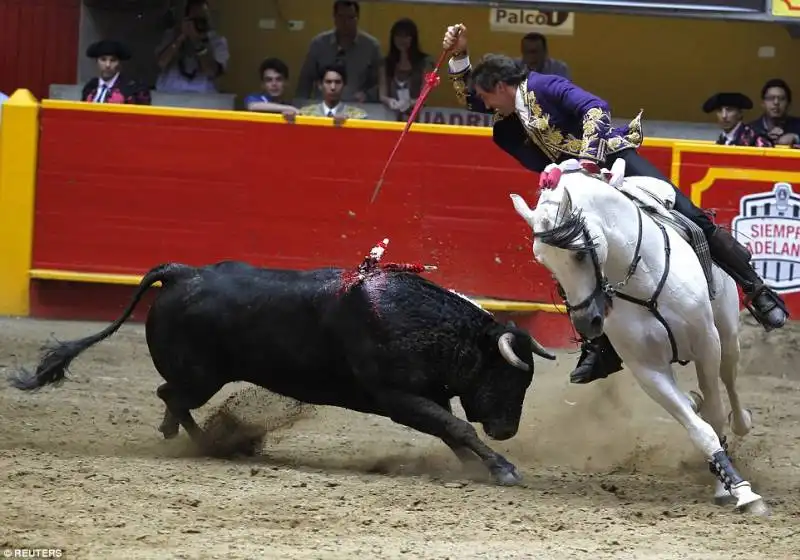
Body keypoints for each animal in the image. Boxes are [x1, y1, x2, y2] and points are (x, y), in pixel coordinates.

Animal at [7, 260, 556, 484]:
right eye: (511, 376)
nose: (508, 430)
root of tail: (182, 272)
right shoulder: (397, 398)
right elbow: (457, 427)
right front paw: (501, 469)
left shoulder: (425, 395)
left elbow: (450, 429)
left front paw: (475, 465)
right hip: (202, 376)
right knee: (173, 395)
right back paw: (209, 443)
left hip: (200, 376)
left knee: (170, 396)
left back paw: (192, 438)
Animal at [510, 159, 764, 516]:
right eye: (543, 261)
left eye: (579, 253)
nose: (587, 323)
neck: (642, 280)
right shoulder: (648, 370)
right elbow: (699, 429)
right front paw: (730, 483)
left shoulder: (706, 345)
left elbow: (715, 417)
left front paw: (737, 489)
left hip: (726, 333)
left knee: (730, 379)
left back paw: (742, 419)